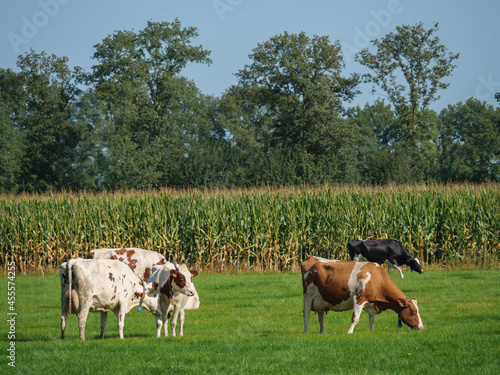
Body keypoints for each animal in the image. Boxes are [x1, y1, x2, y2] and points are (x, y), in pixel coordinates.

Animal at [60, 258, 197, 340]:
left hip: (63, 301)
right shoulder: (123, 303)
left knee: (63, 319)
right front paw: (121, 337)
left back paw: (62, 337)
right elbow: (120, 323)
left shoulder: (104, 307)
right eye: (157, 297)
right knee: (82, 319)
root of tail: (72, 262)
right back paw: (82, 339)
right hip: (85, 300)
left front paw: (101, 337)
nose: (162, 313)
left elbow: (103, 324)